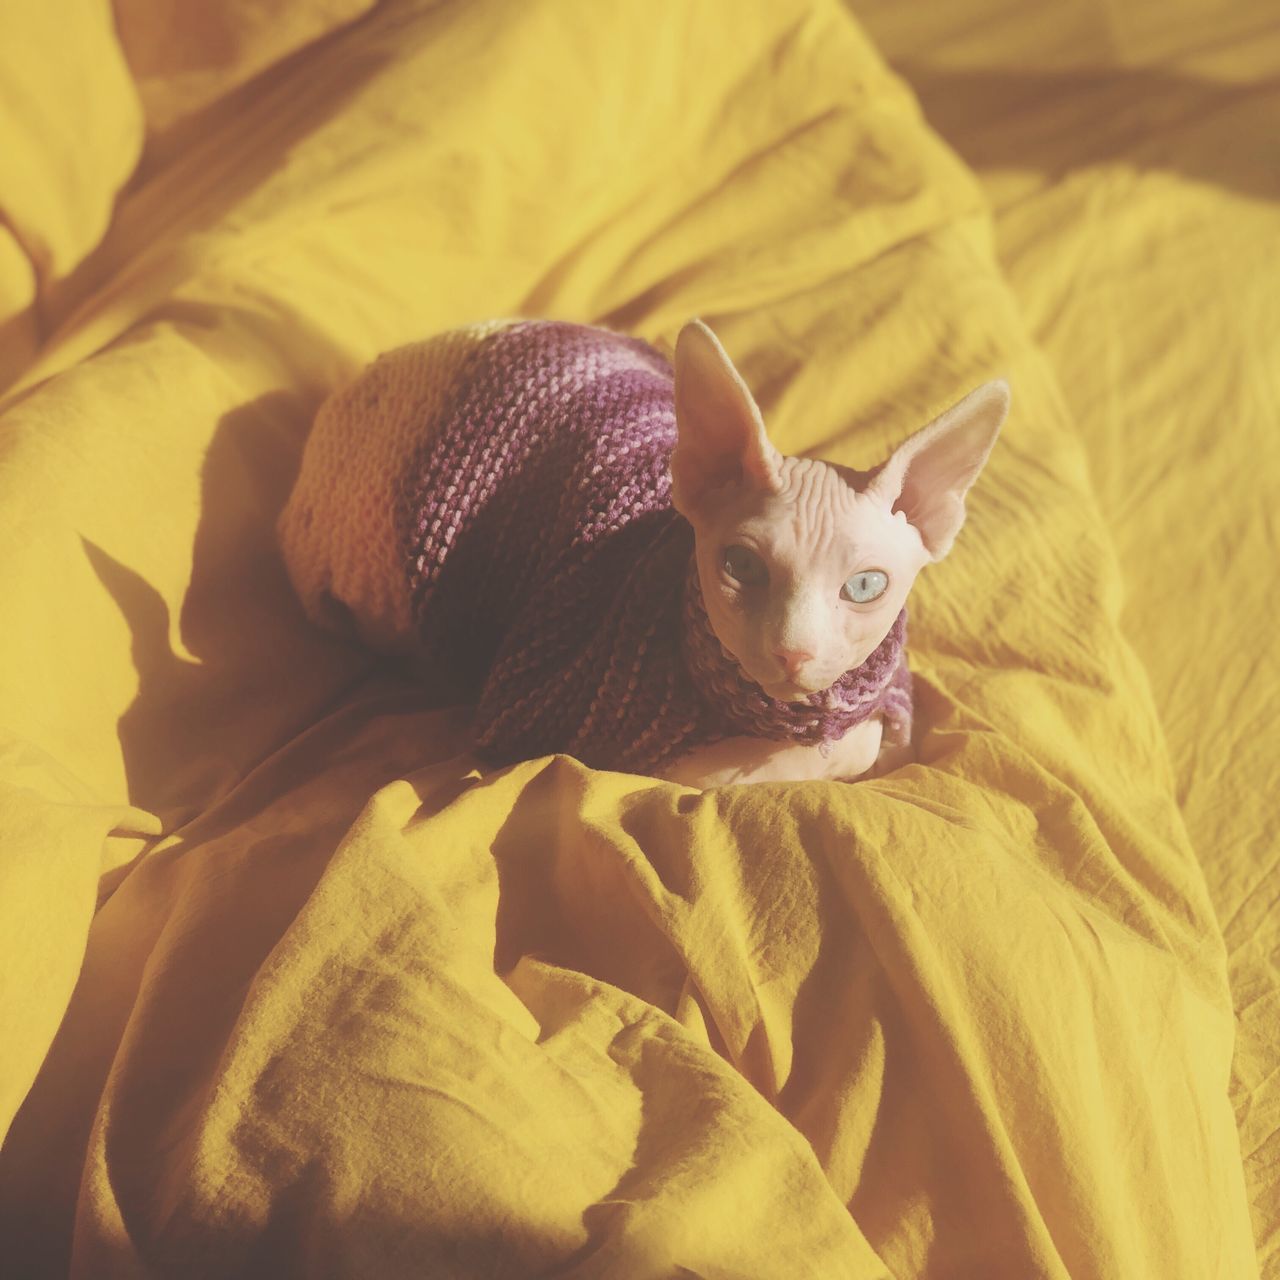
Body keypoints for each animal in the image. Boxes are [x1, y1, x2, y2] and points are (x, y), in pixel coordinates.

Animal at [280, 314, 1008, 783]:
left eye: (864, 586)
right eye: (742, 566)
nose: (792, 652)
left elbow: (871, 745)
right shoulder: (532, 704)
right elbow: (706, 773)